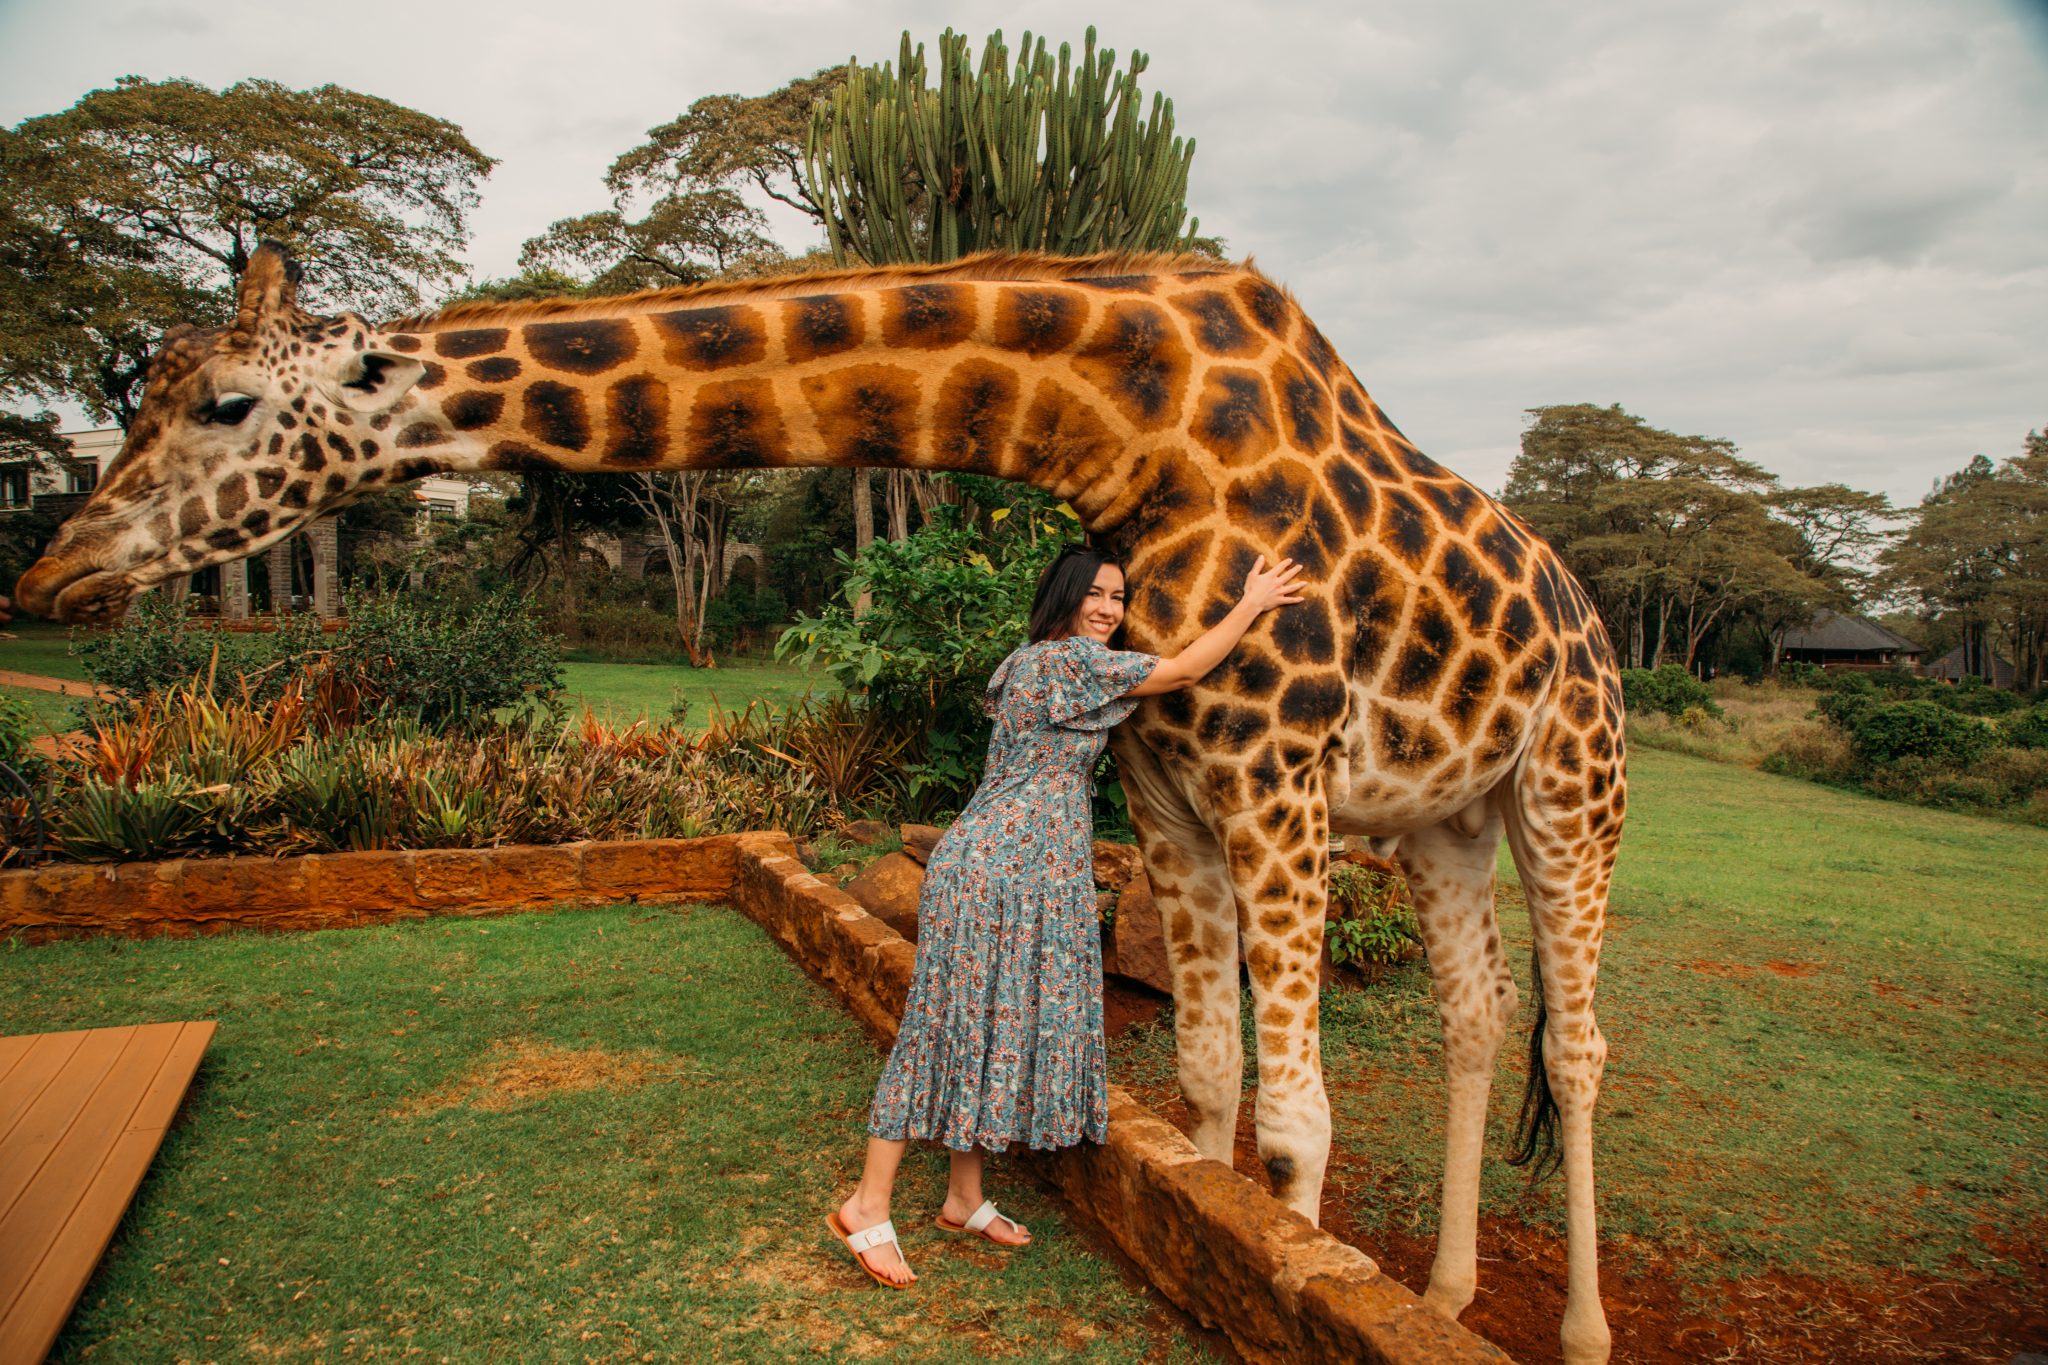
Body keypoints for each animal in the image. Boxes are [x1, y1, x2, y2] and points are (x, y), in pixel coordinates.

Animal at [12, 245, 1613, 1365]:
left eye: (224, 403)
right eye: (140, 392)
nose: (52, 572)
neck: (1136, 434)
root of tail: (1584, 614)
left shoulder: (1276, 782)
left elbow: (1291, 1124)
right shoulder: (1169, 794)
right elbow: (1214, 1083)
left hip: (1567, 788)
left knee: (1575, 1044)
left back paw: (1580, 1330)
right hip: (1440, 818)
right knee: (1480, 1013)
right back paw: (1452, 1292)